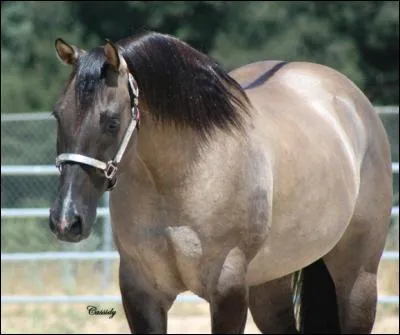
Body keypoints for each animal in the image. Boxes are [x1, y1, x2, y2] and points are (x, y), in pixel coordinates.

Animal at [48, 30, 392, 334]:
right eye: (57, 115)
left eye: (111, 122)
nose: (66, 220)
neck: (182, 177)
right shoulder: (140, 291)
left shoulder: (228, 290)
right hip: (270, 281)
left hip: (358, 276)